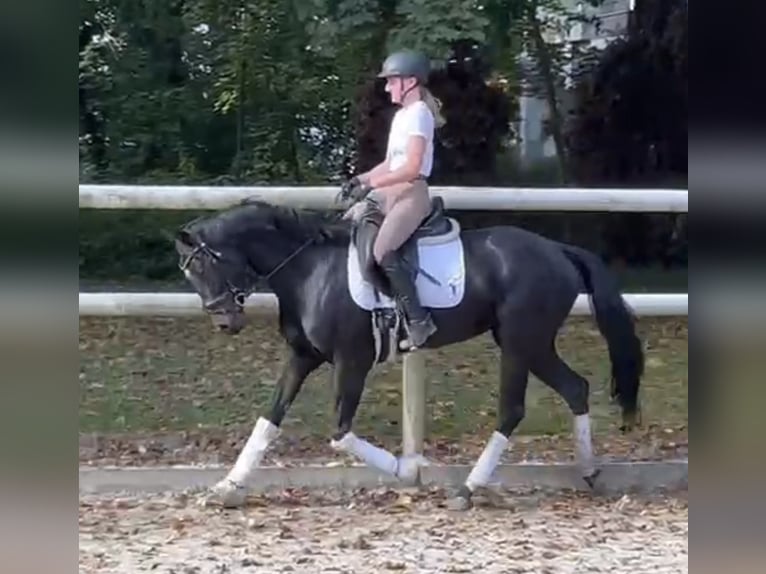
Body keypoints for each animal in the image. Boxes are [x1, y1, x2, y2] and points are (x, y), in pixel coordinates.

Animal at [176, 196, 648, 510]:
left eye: (202, 265)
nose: (224, 322)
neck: (310, 271)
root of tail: (556, 250)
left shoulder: (352, 362)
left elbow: (340, 432)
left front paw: (408, 470)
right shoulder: (303, 357)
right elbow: (269, 419)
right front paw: (227, 488)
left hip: (520, 341)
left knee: (514, 409)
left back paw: (467, 490)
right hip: (532, 344)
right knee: (576, 388)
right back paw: (588, 471)